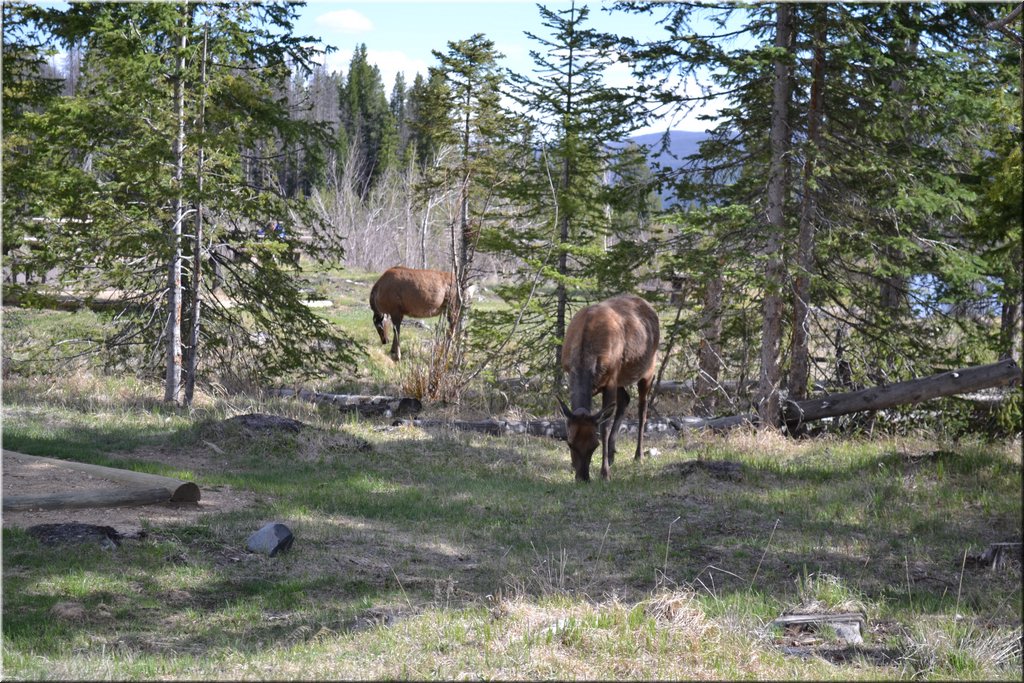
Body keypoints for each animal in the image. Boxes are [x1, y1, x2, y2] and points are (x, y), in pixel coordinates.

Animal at [557, 294, 659, 481]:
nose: (583, 477)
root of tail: (647, 304)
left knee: (642, 408)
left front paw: (605, 473)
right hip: (620, 376)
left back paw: (638, 455)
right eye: (570, 444)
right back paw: (612, 454)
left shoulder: (611, 379)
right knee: (625, 399)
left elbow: (604, 426)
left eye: (594, 445)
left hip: (648, 367)